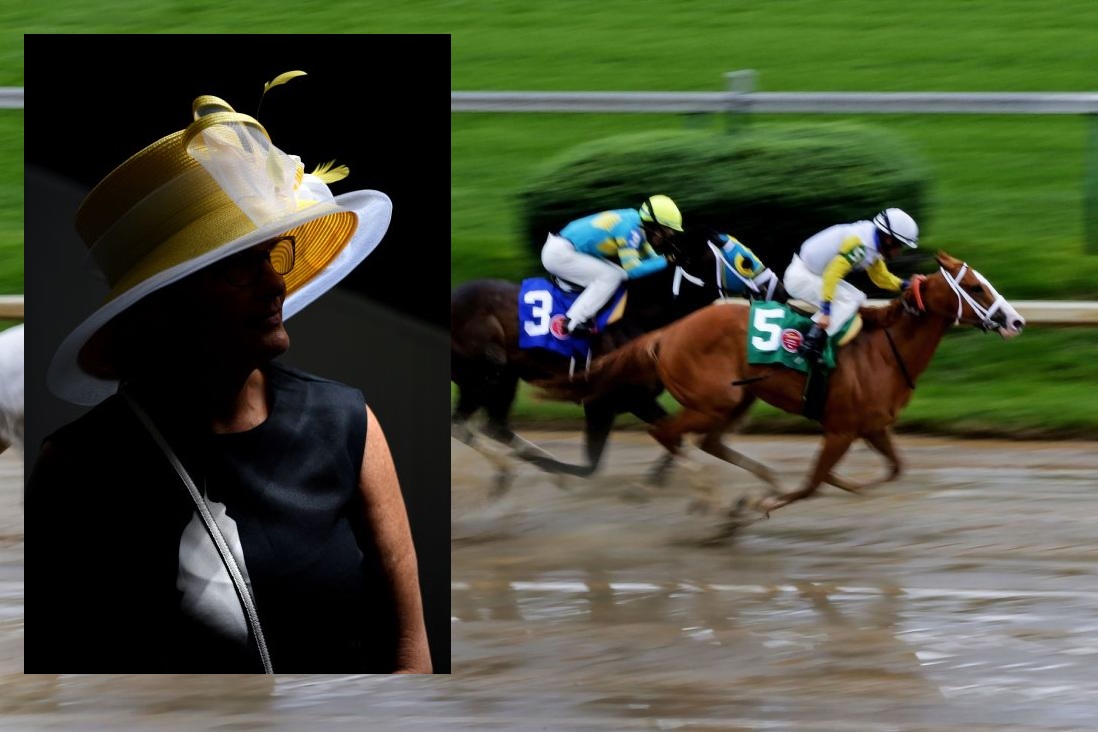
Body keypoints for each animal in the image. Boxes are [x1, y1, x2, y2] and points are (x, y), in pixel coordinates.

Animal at [451, 231, 786, 492]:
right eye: (745, 260)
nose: (780, 289)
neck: (642, 314)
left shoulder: (631, 399)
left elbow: (672, 436)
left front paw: (656, 479)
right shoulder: (612, 400)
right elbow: (593, 465)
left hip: (502, 377)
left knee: (494, 425)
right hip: (486, 371)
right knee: (463, 424)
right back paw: (510, 469)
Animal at [535, 252, 1025, 526]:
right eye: (977, 286)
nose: (1017, 320)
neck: (882, 350)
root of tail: (667, 333)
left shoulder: (873, 427)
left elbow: (891, 469)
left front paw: (846, 484)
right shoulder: (840, 430)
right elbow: (811, 485)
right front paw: (756, 503)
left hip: (739, 397)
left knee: (707, 441)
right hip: (715, 398)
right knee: (670, 434)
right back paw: (711, 501)